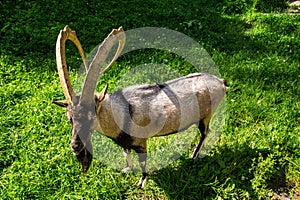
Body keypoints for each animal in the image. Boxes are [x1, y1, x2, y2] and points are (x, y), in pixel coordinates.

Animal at [54, 25, 226, 188]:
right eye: (69, 118)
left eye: (91, 116)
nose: (75, 146)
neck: (122, 112)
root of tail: (221, 82)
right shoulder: (125, 143)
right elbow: (126, 154)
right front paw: (127, 169)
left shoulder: (141, 142)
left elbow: (143, 162)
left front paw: (141, 181)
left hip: (206, 116)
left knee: (205, 132)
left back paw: (194, 155)